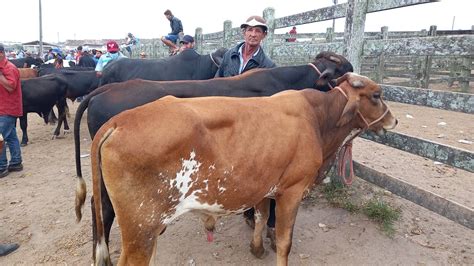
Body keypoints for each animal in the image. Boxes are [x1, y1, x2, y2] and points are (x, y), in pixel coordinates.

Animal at [77, 71, 396, 264]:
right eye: (377, 95)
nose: (393, 120)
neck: (317, 119)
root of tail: (119, 121)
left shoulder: (266, 187)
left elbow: (261, 217)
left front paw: (256, 248)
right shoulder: (292, 191)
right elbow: (285, 241)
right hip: (140, 228)